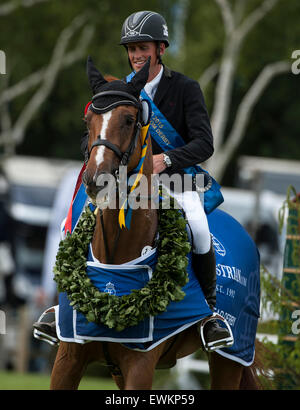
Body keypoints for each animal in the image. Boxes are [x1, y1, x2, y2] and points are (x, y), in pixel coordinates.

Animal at [49, 57, 262, 390]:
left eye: (128, 120)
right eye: (87, 121)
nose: (95, 181)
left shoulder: (140, 364)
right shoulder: (69, 358)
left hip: (232, 355)